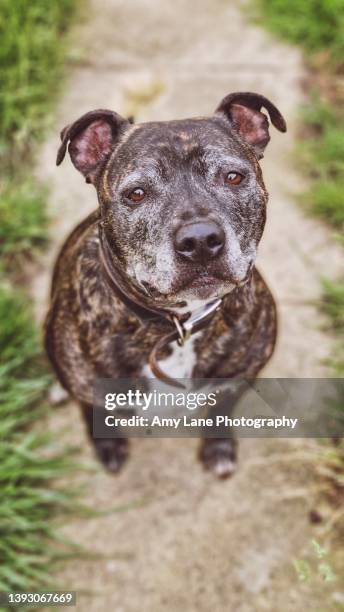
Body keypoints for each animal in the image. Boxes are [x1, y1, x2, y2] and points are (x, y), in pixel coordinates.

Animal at [45, 91, 288, 478]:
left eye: (233, 177)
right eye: (137, 193)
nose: (200, 240)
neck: (177, 324)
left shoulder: (238, 378)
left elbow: (221, 410)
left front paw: (218, 447)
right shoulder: (89, 391)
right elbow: (93, 412)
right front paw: (107, 445)